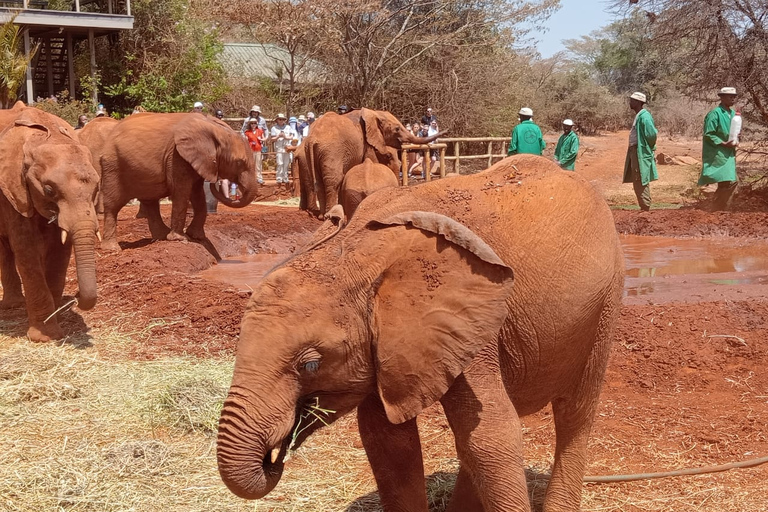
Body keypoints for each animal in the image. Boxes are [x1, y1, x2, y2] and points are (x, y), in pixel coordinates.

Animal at [0, 102, 100, 342]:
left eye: (96, 189)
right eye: (48, 190)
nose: (76, 295)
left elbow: (60, 250)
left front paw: (55, 320)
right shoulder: (13, 190)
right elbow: (26, 251)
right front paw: (44, 337)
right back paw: (12, 306)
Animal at [99, 113, 258, 251]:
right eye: (239, 162)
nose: (216, 181)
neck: (215, 128)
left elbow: (197, 195)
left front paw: (197, 237)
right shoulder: (177, 156)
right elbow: (181, 192)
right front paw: (180, 239)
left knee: (150, 201)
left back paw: (161, 236)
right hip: (112, 166)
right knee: (113, 205)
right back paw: (112, 249)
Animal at [214, 156, 624, 512]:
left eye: (310, 365)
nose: (275, 456)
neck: (353, 251)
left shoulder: (466, 322)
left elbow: (491, 436)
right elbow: (387, 441)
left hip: (605, 302)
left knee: (575, 412)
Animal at [296, 109, 440, 215]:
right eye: (397, 129)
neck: (374, 113)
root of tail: (312, 139)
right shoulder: (367, 144)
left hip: (314, 153)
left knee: (319, 182)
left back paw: (321, 216)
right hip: (331, 151)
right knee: (333, 181)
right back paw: (328, 214)